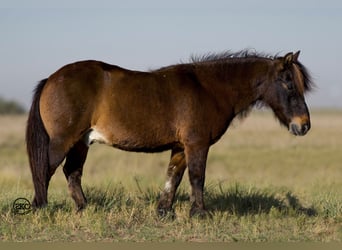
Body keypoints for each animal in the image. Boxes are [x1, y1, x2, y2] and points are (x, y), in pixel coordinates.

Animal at [25, 49, 314, 217]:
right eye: (289, 83)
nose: (304, 125)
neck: (209, 88)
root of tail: (51, 78)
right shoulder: (197, 144)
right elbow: (197, 177)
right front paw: (200, 213)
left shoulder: (180, 146)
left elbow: (173, 177)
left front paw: (164, 211)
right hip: (63, 141)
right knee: (46, 170)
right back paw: (41, 209)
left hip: (81, 143)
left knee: (71, 172)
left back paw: (83, 208)